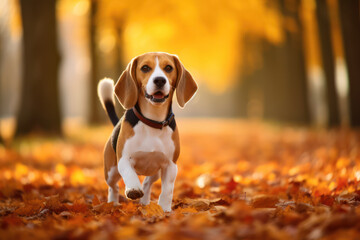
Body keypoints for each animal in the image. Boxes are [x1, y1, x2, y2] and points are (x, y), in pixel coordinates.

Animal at [97, 51, 198, 211]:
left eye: (168, 68)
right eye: (145, 68)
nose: (160, 80)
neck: (153, 121)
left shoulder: (170, 165)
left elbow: (167, 191)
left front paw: (165, 210)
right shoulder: (124, 159)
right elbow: (129, 173)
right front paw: (133, 188)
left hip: (155, 172)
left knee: (147, 183)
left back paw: (144, 203)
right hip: (111, 171)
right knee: (113, 187)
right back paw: (113, 203)